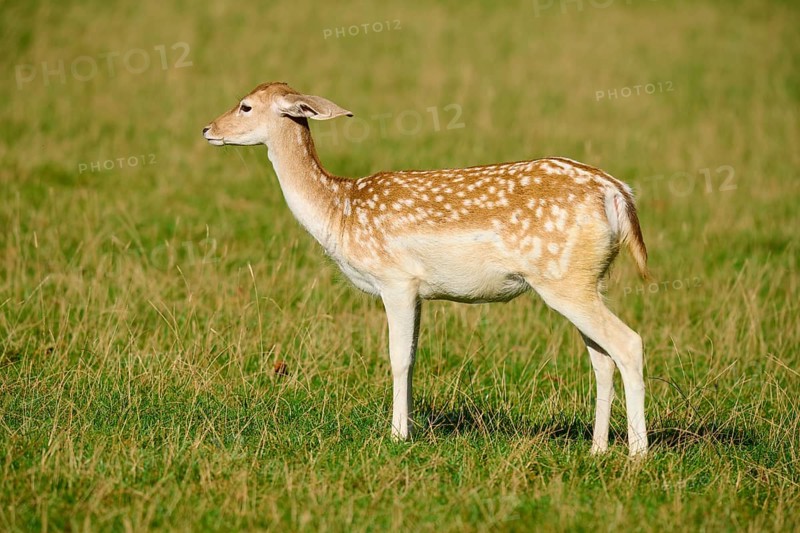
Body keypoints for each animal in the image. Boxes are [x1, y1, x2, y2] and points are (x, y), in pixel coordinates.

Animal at [203, 82, 650, 456]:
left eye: (245, 105)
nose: (207, 129)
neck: (340, 213)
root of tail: (617, 193)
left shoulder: (395, 279)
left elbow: (398, 358)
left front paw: (397, 435)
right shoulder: (418, 290)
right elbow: (415, 357)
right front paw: (410, 428)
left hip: (563, 278)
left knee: (628, 343)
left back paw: (637, 454)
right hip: (586, 278)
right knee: (602, 357)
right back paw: (597, 449)